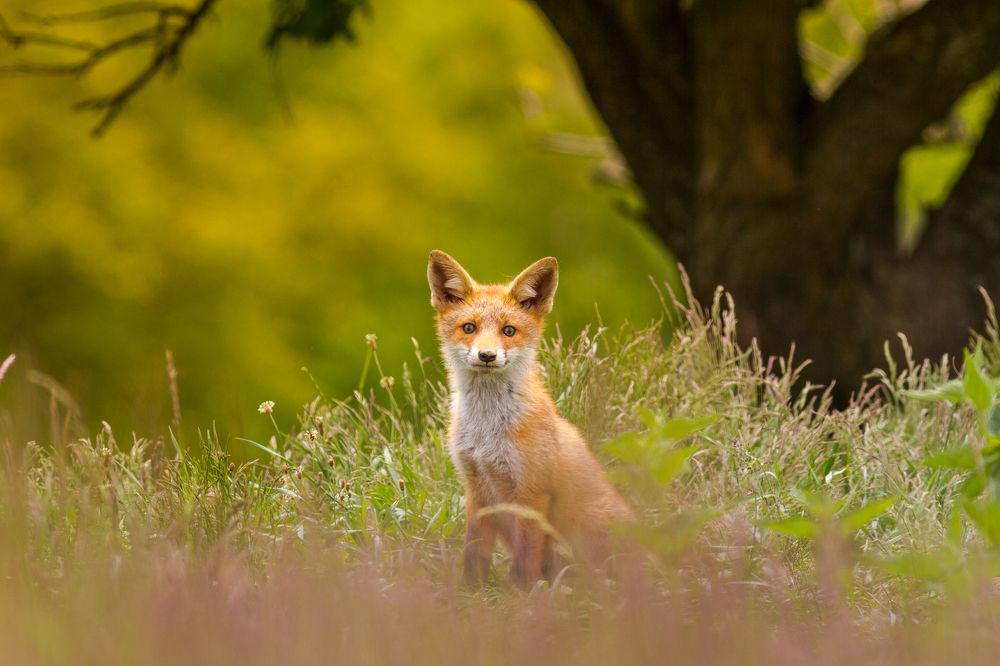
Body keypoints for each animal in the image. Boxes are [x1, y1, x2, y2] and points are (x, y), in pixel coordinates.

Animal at [427, 250, 633, 586]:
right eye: (469, 328)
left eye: (509, 330)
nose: (487, 355)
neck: (487, 431)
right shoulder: (476, 487)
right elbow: (474, 554)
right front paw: (469, 593)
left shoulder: (531, 491)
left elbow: (526, 558)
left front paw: (523, 596)